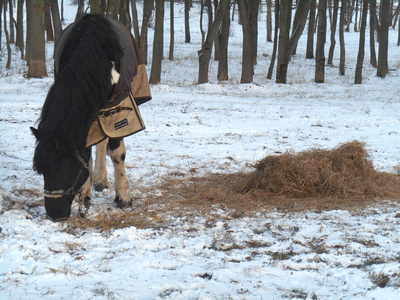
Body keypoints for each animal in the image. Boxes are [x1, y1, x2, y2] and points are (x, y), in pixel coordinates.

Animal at [31, 14, 152, 220]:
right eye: (42, 171)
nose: (54, 214)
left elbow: (117, 153)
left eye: (60, 168)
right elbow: (86, 153)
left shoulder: (118, 108)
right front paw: (85, 195)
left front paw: (124, 198)